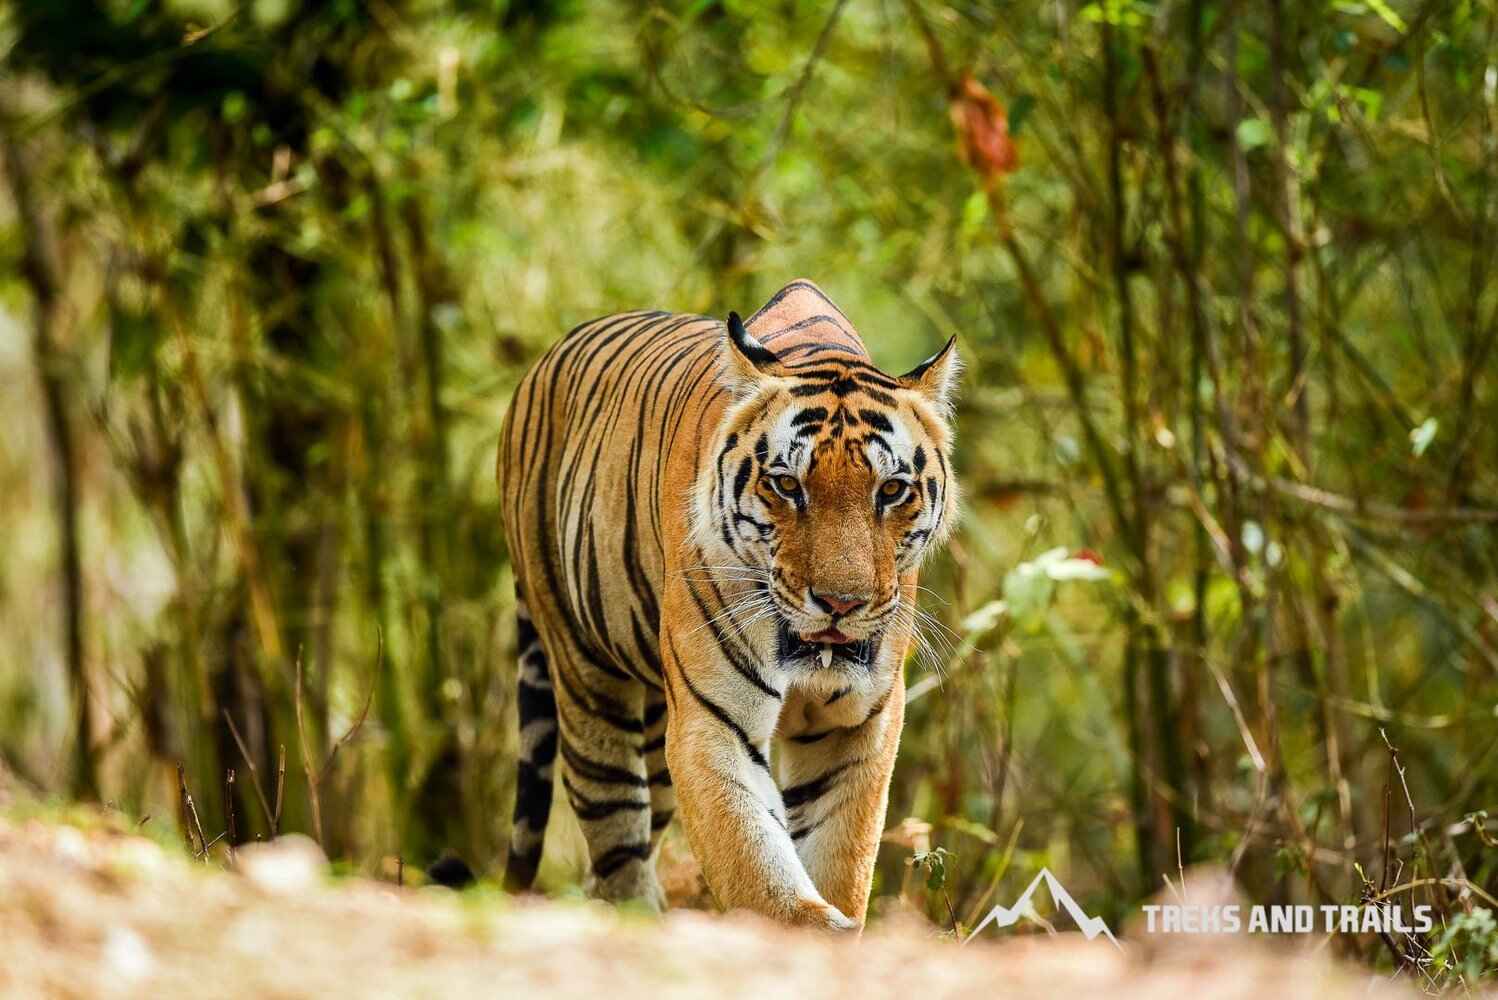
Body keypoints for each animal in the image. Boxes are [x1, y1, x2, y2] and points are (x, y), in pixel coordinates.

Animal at [494, 275, 958, 928]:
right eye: (786, 484)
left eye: (891, 490)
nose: (840, 603)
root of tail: (542, 363)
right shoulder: (713, 723)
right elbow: (757, 865)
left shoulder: (857, 728)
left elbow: (839, 860)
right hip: (586, 677)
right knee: (615, 834)